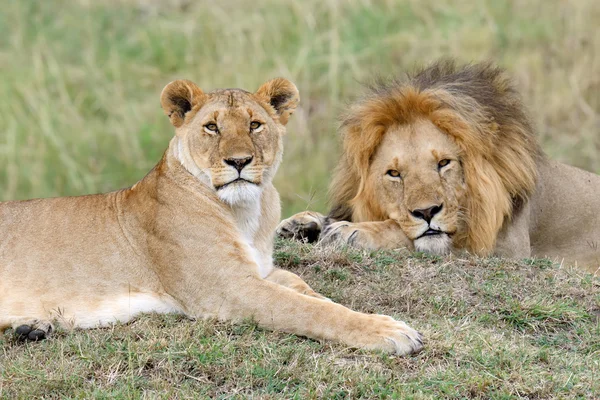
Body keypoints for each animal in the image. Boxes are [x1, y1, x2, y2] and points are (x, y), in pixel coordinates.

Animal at [0, 79, 422, 354]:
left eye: (255, 124)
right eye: (212, 127)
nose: (239, 161)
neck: (246, 213)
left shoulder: (262, 271)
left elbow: (311, 294)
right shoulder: (228, 288)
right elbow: (306, 309)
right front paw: (390, 331)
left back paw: (32, 326)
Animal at [278, 61, 600, 274]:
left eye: (444, 163)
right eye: (394, 174)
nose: (427, 212)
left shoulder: (504, 250)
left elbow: (408, 235)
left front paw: (351, 232)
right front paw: (303, 224)